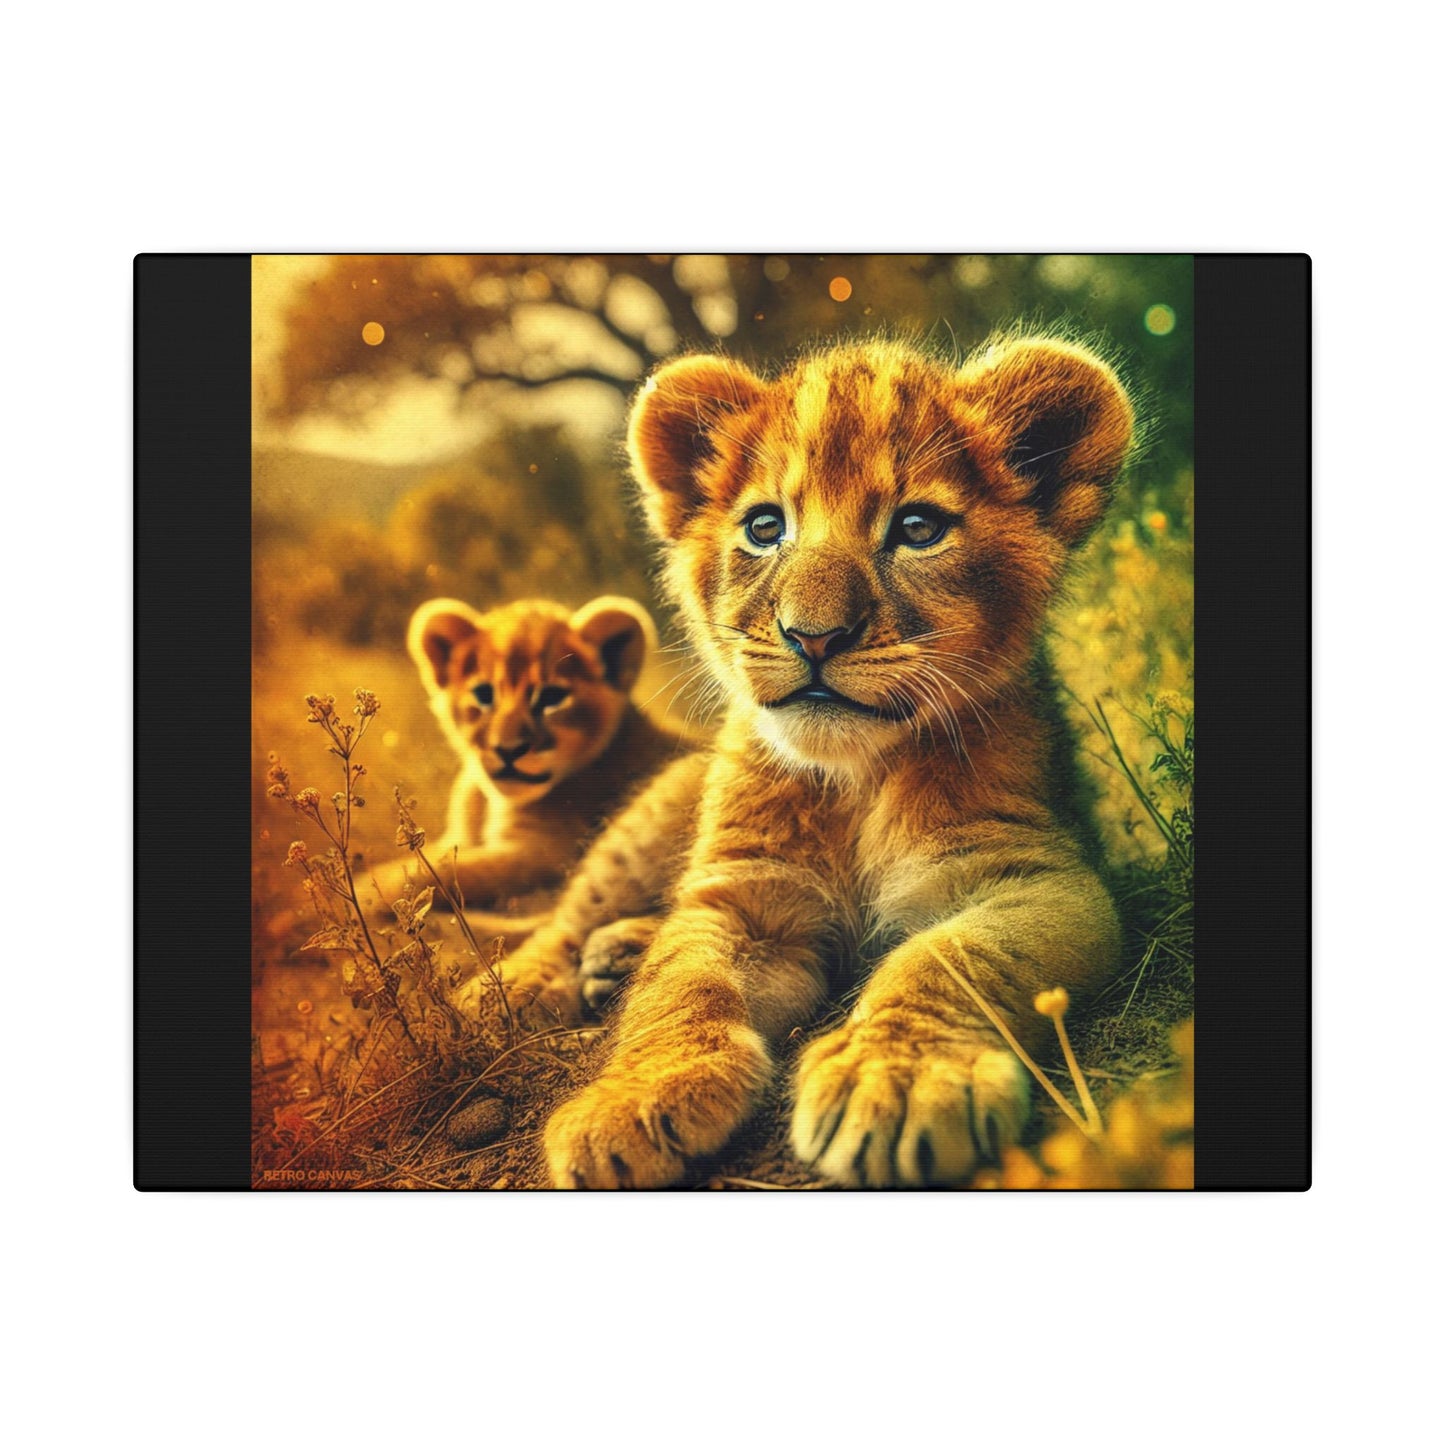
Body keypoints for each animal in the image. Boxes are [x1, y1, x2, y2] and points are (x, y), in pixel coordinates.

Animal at [538, 334, 1134, 1188]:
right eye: (764, 527)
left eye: (917, 528)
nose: (811, 636)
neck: (856, 779)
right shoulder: (744, 894)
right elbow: (680, 982)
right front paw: (628, 1098)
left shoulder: (1033, 873)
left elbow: (950, 957)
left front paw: (896, 1079)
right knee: (561, 923)